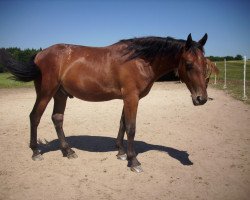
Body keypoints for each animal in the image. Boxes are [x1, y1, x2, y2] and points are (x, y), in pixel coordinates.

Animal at [6, 33, 209, 173]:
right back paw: (36, 152)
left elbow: (122, 124)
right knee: (35, 117)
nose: (202, 99)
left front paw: (121, 153)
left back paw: (68, 151)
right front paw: (133, 161)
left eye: (205, 64)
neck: (139, 60)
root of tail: (40, 54)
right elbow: (131, 128)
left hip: (60, 95)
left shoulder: (127, 98)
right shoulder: (132, 98)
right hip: (46, 92)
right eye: (189, 64)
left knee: (57, 118)